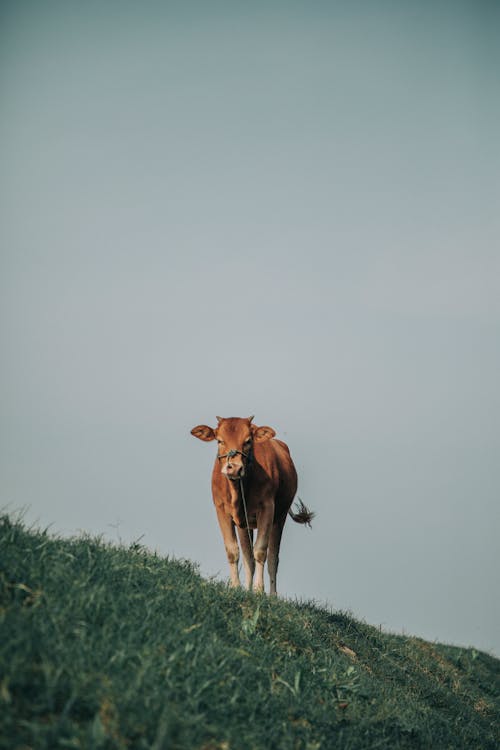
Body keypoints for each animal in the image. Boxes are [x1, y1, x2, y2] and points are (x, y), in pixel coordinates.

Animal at [191, 414, 312, 596]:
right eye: (219, 441)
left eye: (248, 441)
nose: (234, 468)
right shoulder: (221, 510)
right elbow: (233, 551)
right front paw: (236, 587)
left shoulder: (267, 508)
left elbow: (260, 551)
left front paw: (258, 590)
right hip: (245, 525)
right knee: (248, 558)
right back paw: (247, 589)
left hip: (280, 517)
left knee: (273, 559)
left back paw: (272, 596)